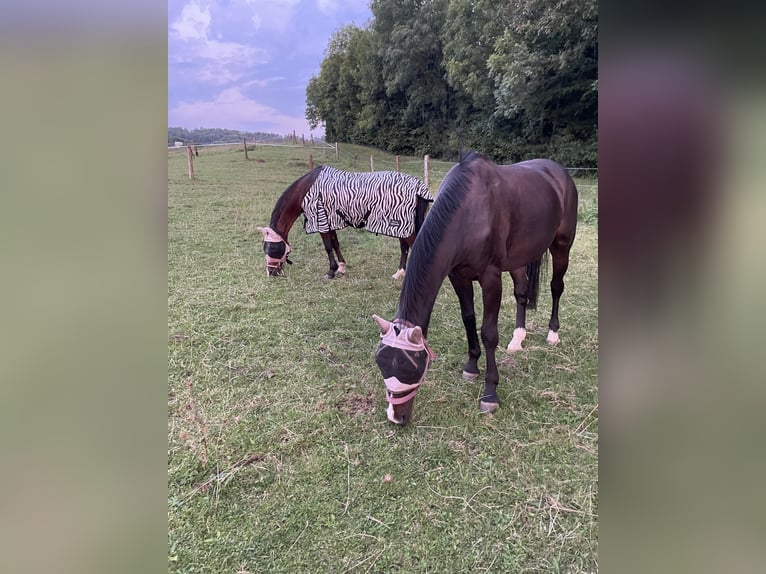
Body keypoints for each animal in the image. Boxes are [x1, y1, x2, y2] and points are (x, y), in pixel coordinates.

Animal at [258, 165, 436, 280]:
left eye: (272, 248)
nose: (272, 273)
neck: (307, 189)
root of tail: (418, 186)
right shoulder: (331, 221)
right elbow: (335, 244)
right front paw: (341, 267)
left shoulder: (321, 221)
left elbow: (328, 247)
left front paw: (331, 272)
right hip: (402, 226)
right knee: (404, 247)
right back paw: (399, 273)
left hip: (401, 224)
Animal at [376, 153, 580, 428]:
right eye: (381, 364)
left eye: (411, 368)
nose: (396, 417)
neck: (469, 212)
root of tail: (559, 172)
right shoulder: (458, 277)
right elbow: (468, 319)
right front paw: (471, 366)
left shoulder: (491, 278)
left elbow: (489, 333)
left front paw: (490, 393)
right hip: (517, 258)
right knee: (522, 292)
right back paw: (518, 337)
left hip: (561, 246)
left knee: (556, 287)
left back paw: (552, 334)